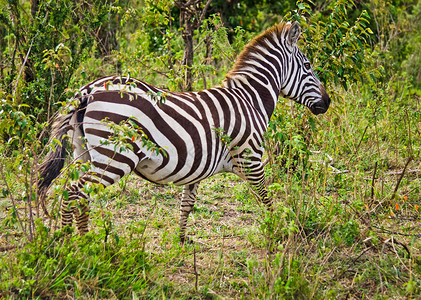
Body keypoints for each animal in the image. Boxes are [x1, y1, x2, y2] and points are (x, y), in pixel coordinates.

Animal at [37, 21, 328, 243]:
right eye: (308, 66)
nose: (327, 103)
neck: (250, 100)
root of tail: (89, 89)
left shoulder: (198, 165)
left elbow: (187, 203)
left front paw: (182, 239)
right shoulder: (250, 158)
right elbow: (266, 198)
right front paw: (277, 231)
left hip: (84, 153)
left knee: (77, 194)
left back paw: (82, 240)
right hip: (115, 156)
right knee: (75, 192)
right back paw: (70, 244)